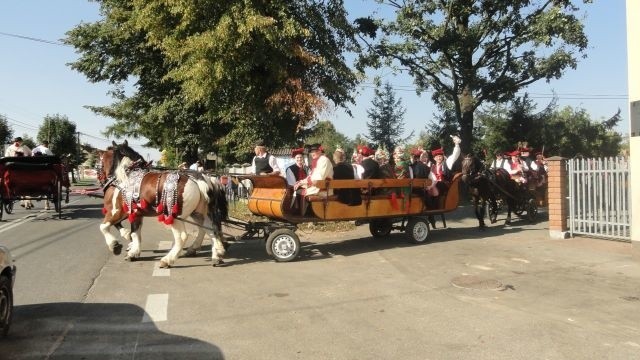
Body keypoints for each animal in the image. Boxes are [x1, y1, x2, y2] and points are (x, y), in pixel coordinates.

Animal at [99, 141, 229, 268]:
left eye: (100, 161)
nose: (101, 178)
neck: (126, 177)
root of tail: (199, 179)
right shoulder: (136, 214)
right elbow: (135, 233)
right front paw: (133, 252)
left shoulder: (116, 211)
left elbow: (104, 226)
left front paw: (115, 245)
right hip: (199, 213)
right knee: (210, 229)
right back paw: (215, 255)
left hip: (175, 216)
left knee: (183, 236)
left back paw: (167, 260)